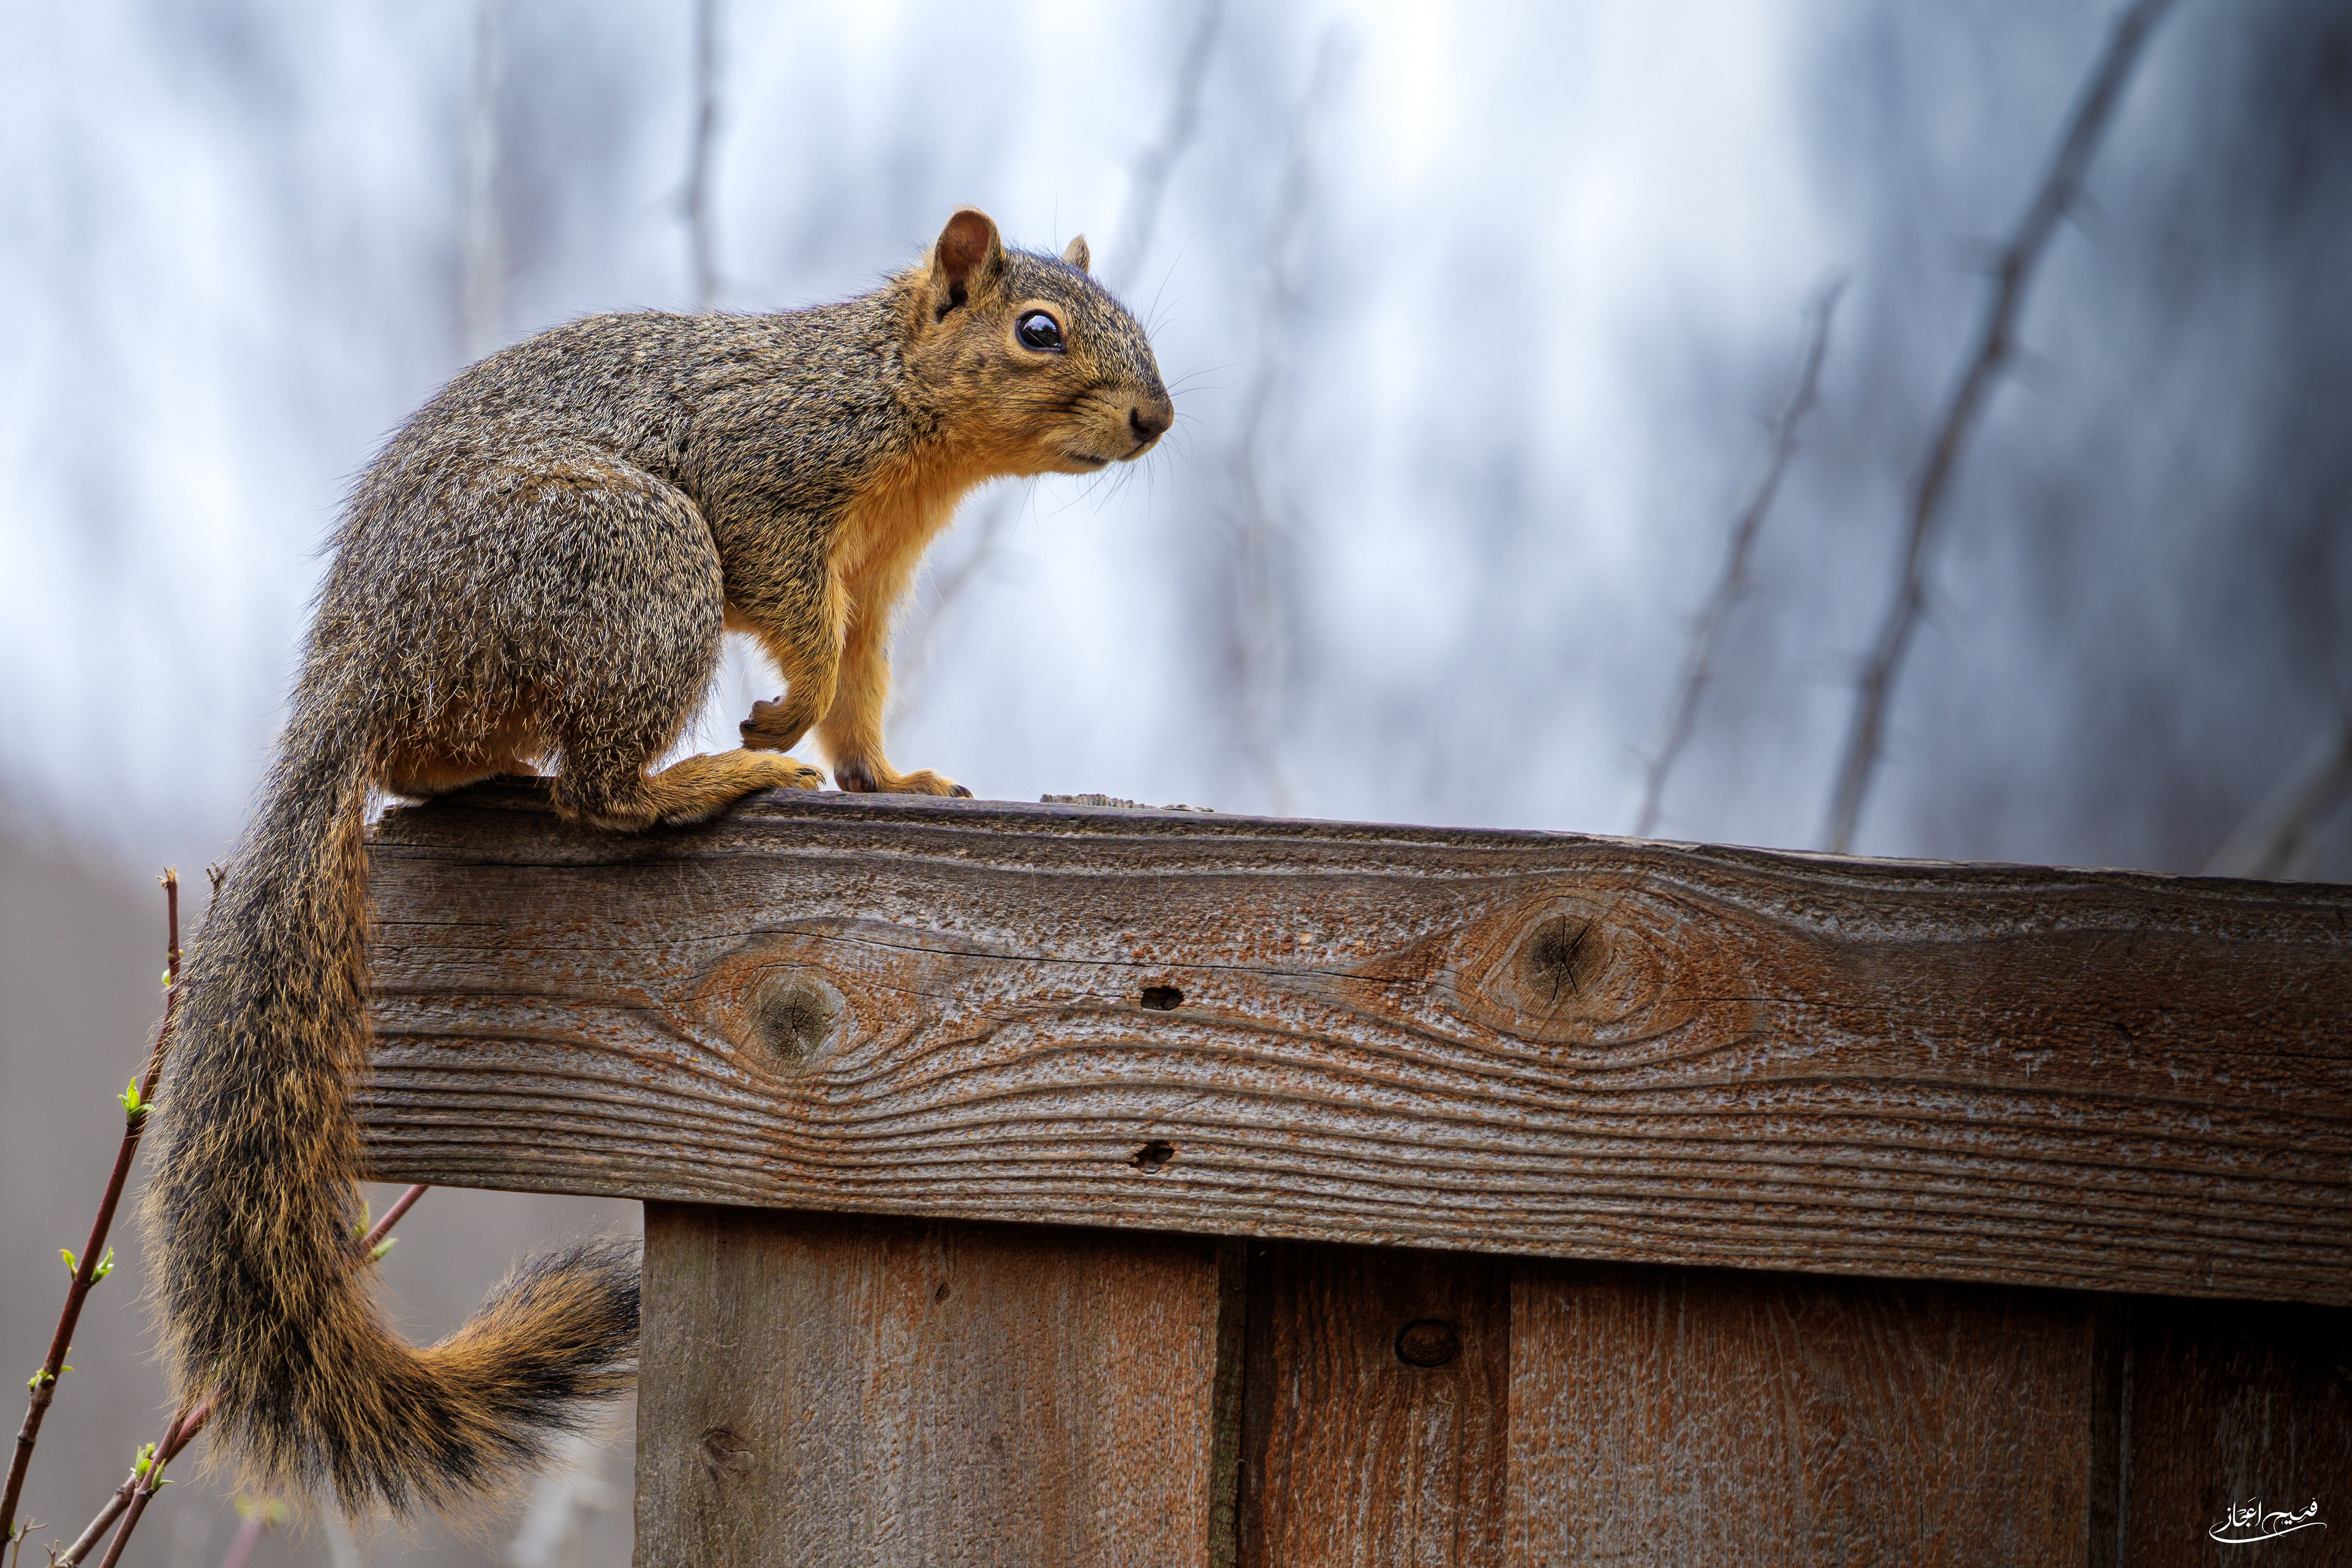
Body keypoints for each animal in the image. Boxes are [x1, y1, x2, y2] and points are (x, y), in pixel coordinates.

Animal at [140, 208, 1173, 1515]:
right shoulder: (766, 483)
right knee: (598, 792)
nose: (1157, 418)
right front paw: (780, 719)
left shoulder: (878, 572)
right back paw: (701, 780)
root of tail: (360, 666)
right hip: (636, 558)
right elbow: (811, 635)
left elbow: (863, 684)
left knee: (444, 768)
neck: (894, 403)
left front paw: (889, 779)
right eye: (1039, 332)